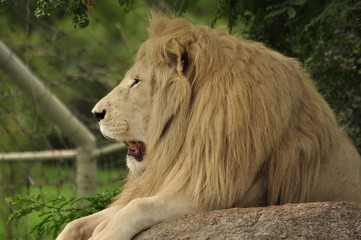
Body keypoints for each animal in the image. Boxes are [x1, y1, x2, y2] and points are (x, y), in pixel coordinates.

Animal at [56, 13, 360, 240]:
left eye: (136, 82)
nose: (96, 113)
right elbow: (80, 221)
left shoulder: (217, 191)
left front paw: (106, 232)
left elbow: (137, 206)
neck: (184, 136)